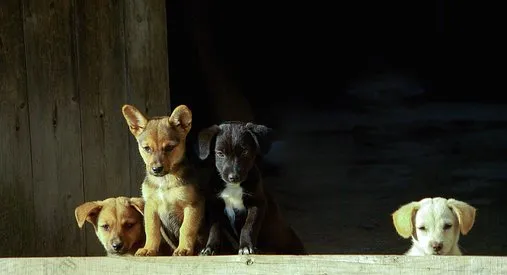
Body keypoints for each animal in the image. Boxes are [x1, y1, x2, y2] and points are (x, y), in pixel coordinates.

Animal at [122, 104, 206, 258]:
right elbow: (152, 230)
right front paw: (149, 248)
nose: (156, 169)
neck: (164, 180)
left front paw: (184, 248)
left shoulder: (192, 205)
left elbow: (187, 229)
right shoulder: (150, 206)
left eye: (169, 148)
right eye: (147, 148)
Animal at [198, 122, 308, 256]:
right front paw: (210, 248)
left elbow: (249, 226)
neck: (233, 187)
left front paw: (246, 247)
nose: (233, 177)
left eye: (244, 152)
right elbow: (215, 228)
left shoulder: (257, 204)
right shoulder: (214, 206)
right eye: (220, 153)